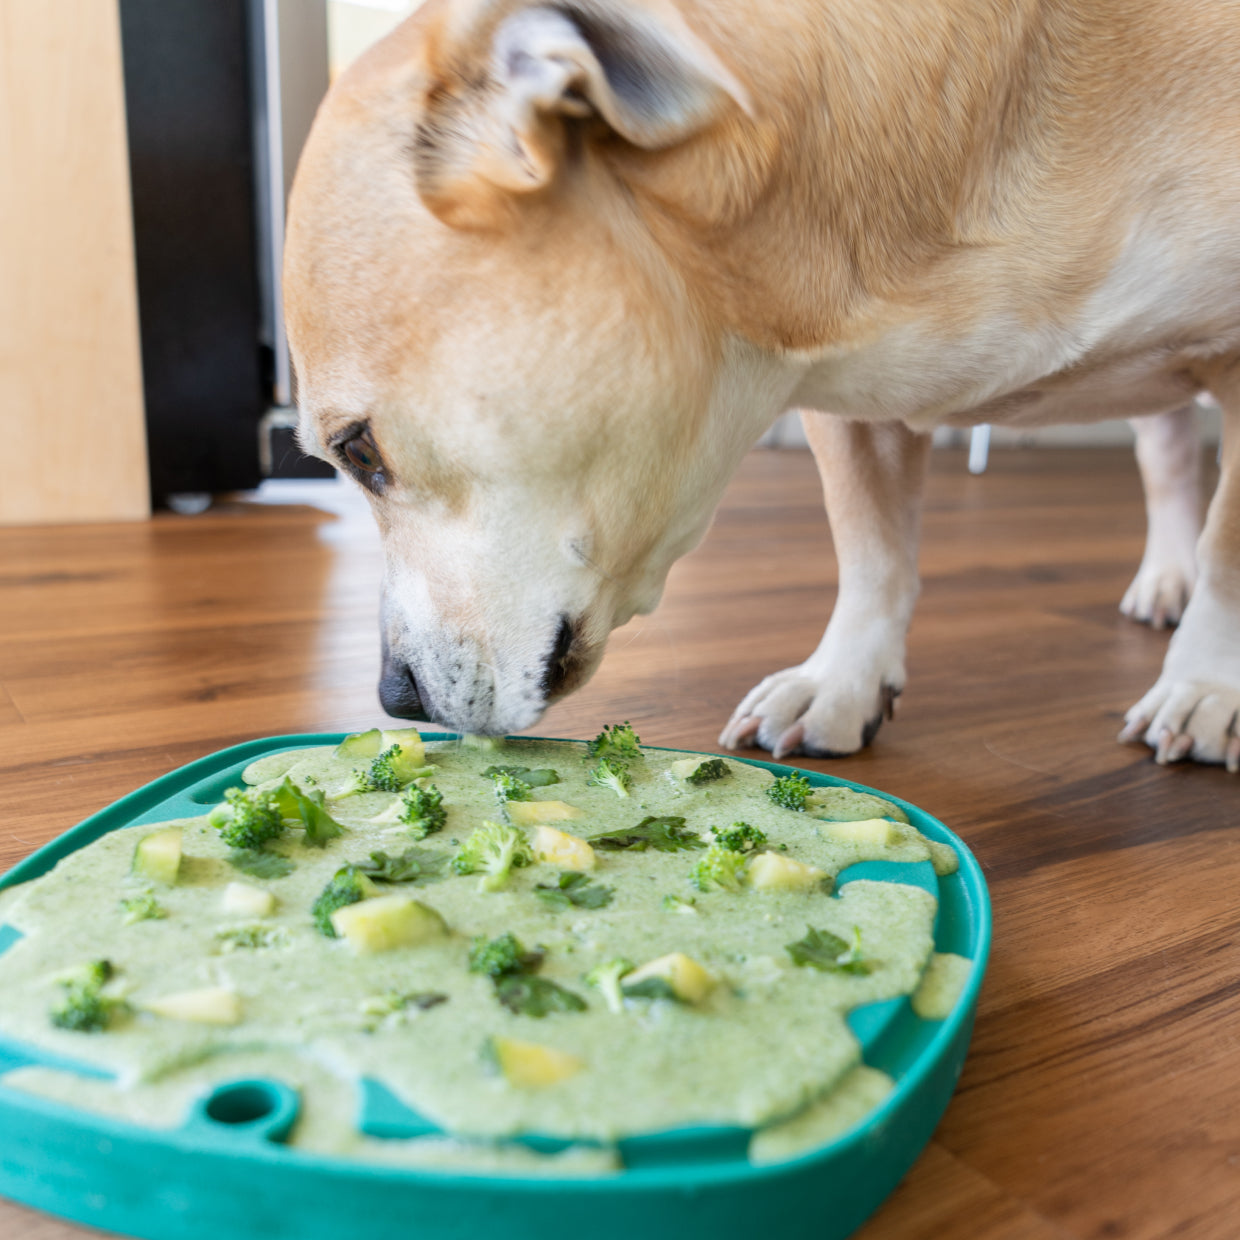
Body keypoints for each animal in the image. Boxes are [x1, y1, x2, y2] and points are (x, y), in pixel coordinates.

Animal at [283, 0, 1240, 768]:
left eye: (359, 452)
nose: (393, 698)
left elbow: (1228, 548)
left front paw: (1210, 685)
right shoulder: (852, 394)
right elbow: (871, 548)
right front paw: (843, 682)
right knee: (1167, 455)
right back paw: (1163, 578)